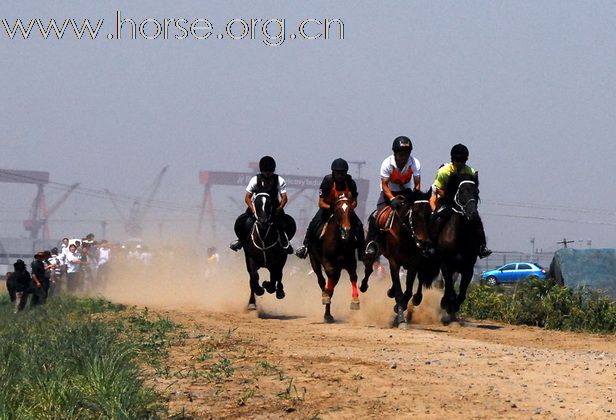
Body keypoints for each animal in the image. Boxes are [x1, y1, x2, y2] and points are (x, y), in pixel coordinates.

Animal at [308, 192, 360, 324]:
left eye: (350, 210)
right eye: (337, 210)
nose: (346, 229)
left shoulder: (350, 261)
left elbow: (353, 276)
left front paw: (355, 301)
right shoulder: (329, 263)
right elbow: (329, 285)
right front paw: (326, 296)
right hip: (314, 260)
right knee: (321, 280)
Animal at [358, 189, 440, 330]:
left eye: (429, 214)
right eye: (415, 213)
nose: (424, 243)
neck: (405, 235)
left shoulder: (413, 264)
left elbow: (407, 292)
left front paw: (398, 311)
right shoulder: (394, 262)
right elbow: (399, 292)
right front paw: (401, 320)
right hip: (372, 248)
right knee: (369, 266)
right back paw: (363, 286)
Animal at [434, 173, 482, 322]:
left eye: (477, 192)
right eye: (461, 192)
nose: (473, 215)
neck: (460, 237)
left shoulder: (468, 268)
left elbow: (461, 293)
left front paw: (453, 307)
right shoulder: (445, 265)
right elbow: (449, 289)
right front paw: (446, 303)